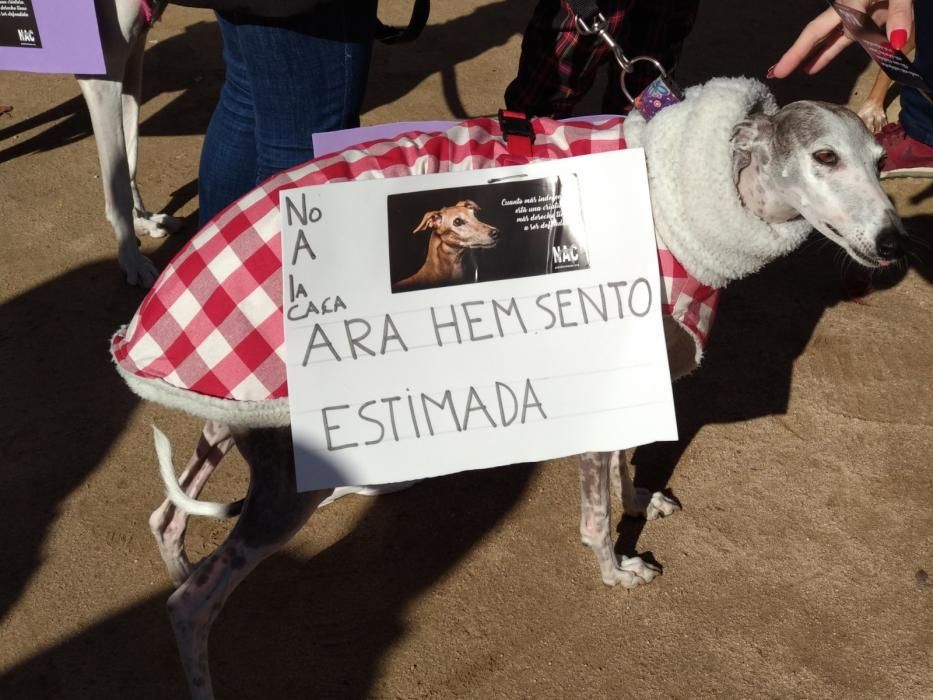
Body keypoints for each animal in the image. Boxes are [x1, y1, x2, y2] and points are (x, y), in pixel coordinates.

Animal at [76, 0, 180, 288]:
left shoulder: (133, 54)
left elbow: (131, 158)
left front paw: (142, 219)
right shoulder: (101, 79)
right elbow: (118, 184)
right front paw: (130, 258)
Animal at [142, 80, 908, 696]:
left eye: (879, 160)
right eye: (824, 158)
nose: (895, 244)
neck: (679, 193)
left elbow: (625, 462)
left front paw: (640, 499)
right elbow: (596, 514)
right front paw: (615, 570)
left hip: (233, 417)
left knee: (167, 518)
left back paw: (181, 557)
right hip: (280, 482)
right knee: (192, 605)